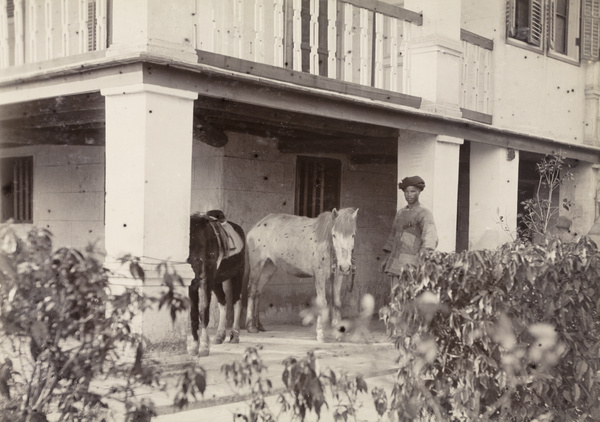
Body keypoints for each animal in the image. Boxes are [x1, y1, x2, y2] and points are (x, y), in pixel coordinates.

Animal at [186, 211, 245, 356]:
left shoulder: (205, 281)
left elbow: (203, 312)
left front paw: (204, 347)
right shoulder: (192, 285)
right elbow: (194, 315)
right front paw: (194, 346)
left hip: (238, 274)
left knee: (236, 301)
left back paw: (235, 335)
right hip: (217, 282)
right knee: (223, 302)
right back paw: (220, 335)